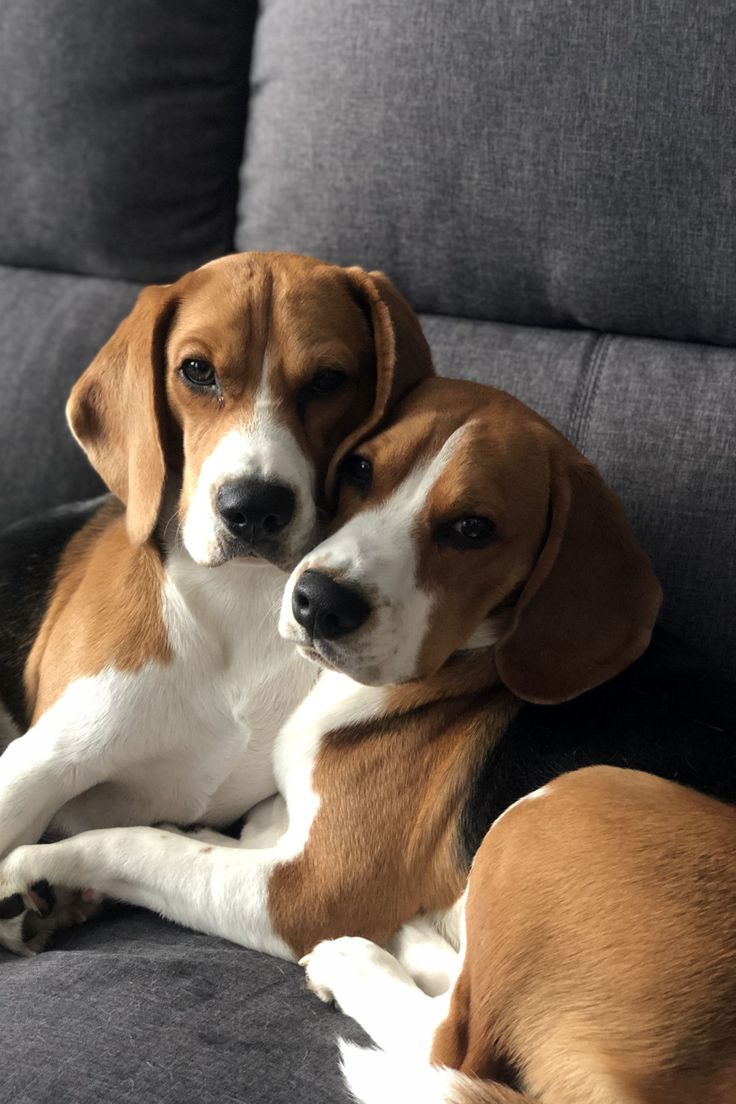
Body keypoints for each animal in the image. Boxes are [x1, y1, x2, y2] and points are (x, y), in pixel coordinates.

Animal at [1, 381, 736, 1104]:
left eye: (474, 529)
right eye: (359, 467)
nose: (319, 602)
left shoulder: (307, 890)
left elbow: (138, 846)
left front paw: (35, 864)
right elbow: (220, 833)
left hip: (562, 803)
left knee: (452, 1045)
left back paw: (361, 960)